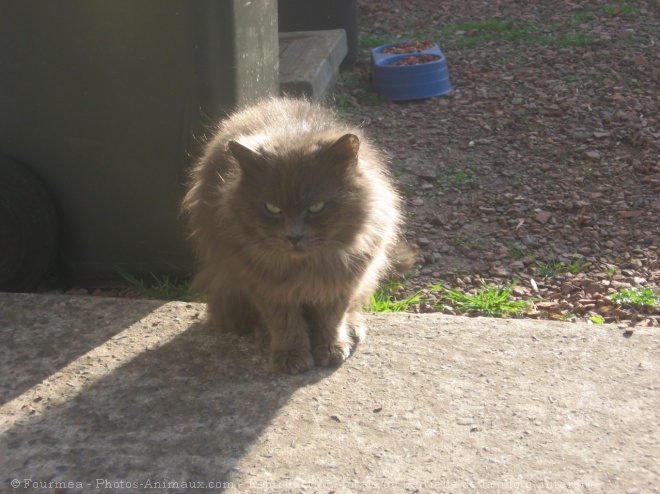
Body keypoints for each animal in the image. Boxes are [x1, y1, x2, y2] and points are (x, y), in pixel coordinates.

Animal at [179, 97, 408, 374]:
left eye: (317, 207)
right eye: (272, 208)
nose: (294, 236)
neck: (306, 267)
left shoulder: (342, 281)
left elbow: (332, 318)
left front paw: (331, 348)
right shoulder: (265, 285)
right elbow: (284, 322)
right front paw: (291, 355)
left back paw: (354, 328)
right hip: (228, 287)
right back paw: (263, 334)